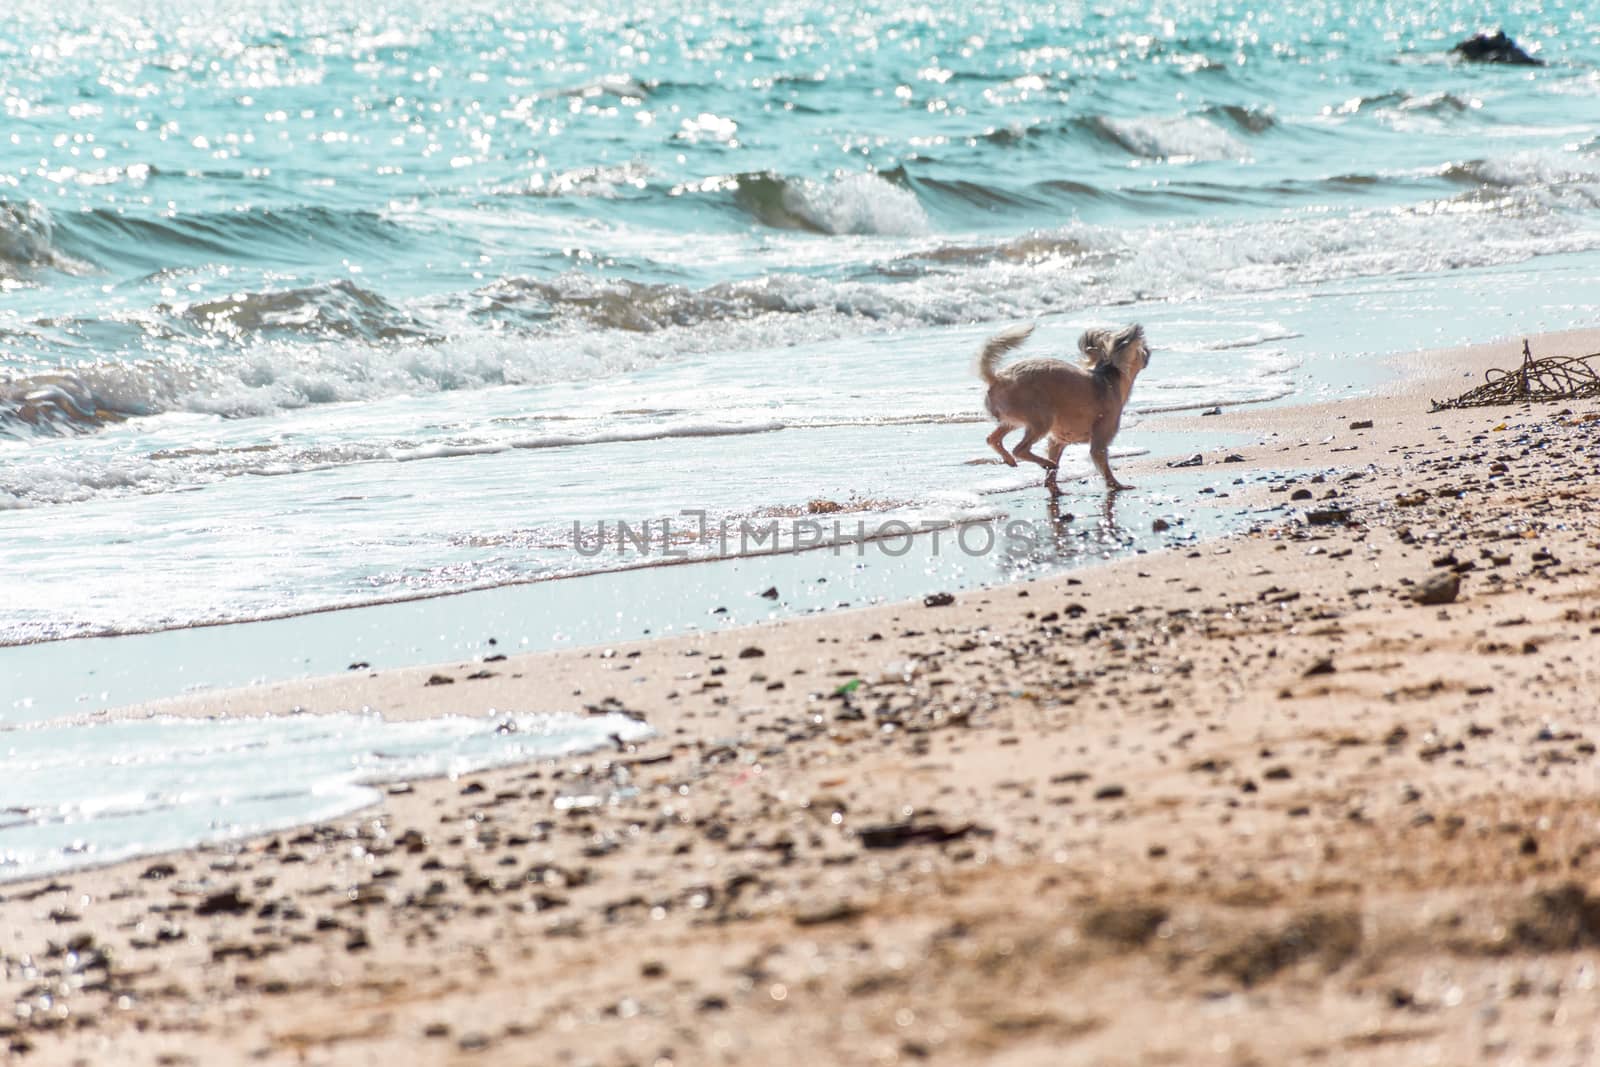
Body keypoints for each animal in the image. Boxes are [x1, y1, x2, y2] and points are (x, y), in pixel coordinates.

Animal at [972, 323, 1152, 495]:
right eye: (1142, 349)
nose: (1149, 352)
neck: (1108, 376)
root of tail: (998, 378)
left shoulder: (1057, 442)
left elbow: (1051, 475)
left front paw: (1054, 488)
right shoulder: (1100, 442)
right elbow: (1105, 467)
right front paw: (1117, 485)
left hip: (1013, 421)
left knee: (993, 438)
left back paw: (1016, 460)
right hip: (1041, 419)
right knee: (1019, 449)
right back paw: (1044, 462)